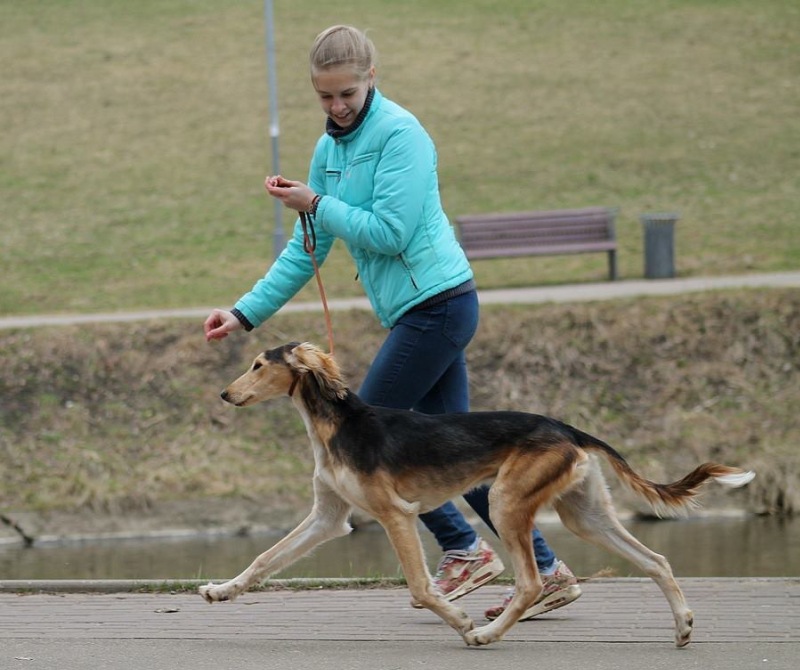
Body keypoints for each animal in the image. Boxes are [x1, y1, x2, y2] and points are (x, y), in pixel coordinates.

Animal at [200, 344, 756, 648]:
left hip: (505, 501)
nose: (226, 394)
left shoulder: (395, 515)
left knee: (531, 583)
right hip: (584, 514)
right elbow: (265, 558)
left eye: (257, 364)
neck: (337, 423)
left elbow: (422, 587)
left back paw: (486, 635)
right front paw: (222, 590)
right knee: (656, 560)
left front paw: (460, 619)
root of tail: (566, 428)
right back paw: (683, 627)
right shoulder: (327, 517)